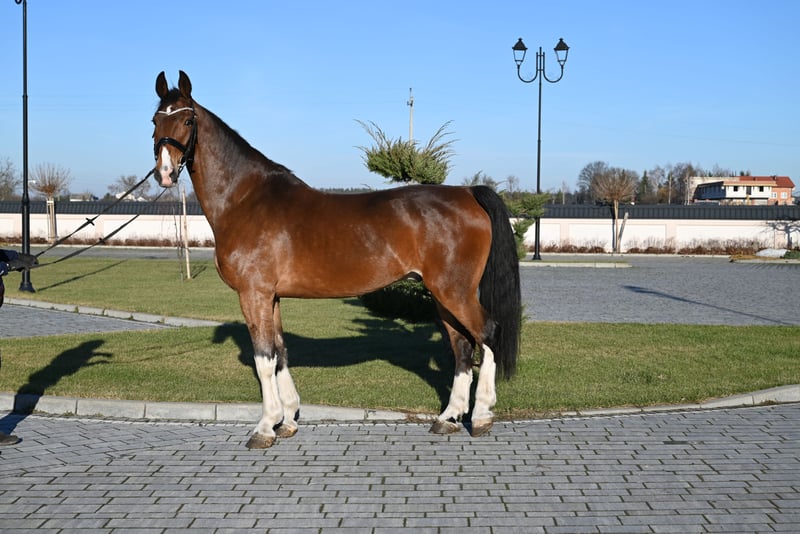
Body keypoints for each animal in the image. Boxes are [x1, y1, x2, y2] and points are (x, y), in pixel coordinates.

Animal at [152, 71, 521, 449]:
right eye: (155, 120)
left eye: (186, 120)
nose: (164, 173)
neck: (246, 199)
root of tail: (467, 193)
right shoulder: (272, 297)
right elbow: (281, 353)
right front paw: (287, 421)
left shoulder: (253, 294)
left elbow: (264, 359)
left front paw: (264, 427)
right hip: (442, 295)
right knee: (462, 347)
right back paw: (448, 418)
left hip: (454, 291)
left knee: (487, 334)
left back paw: (481, 416)